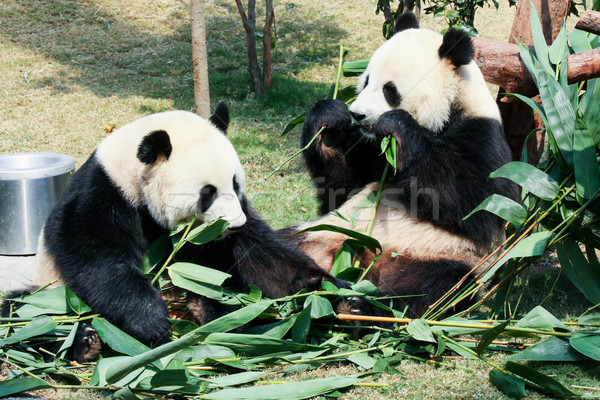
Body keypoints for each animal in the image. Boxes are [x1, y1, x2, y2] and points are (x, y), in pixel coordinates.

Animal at [3, 102, 352, 362]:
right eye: (207, 193)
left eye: (235, 184)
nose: (233, 224)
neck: (133, 174)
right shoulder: (102, 195)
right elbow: (97, 262)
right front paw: (152, 321)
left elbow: (260, 256)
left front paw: (323, 284)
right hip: (50, 291)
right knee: (25, 314)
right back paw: (85, 340)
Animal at [284, 12, 516, 318]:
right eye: (366, 80)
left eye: (390, 90)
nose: (357, 114)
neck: (448, 110)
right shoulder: (371, 153)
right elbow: (338, 190)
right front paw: (330, 118)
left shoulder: (484, 138)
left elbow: (478, 206)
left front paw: (395, 124)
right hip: (318, 233)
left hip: (439, 257)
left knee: (430, 288)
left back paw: (357, 307)